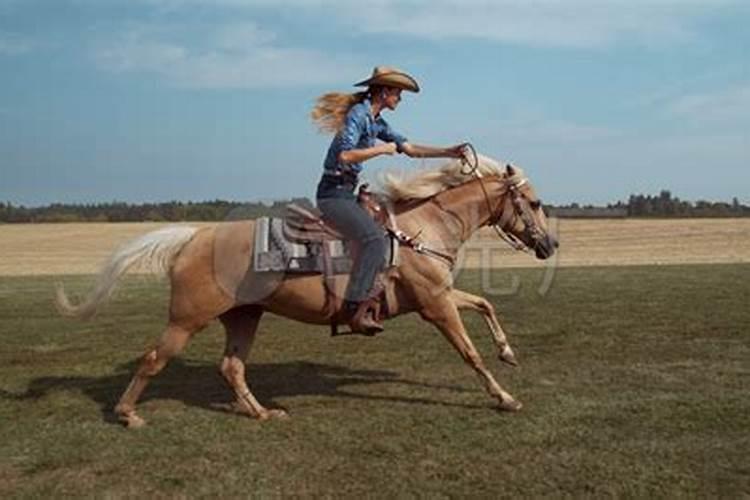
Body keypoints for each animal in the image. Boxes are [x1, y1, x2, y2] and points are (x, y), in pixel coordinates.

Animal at [55, 154, 560, 428]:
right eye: (534, 202)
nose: (550, 244)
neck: (420, 229)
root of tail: (196, 235)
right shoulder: (435, 306)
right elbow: (469, 353)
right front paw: (504, 397)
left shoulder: (435, 296)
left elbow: (485, 304)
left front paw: (508, 353)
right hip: (185, 320)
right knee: (153, 359)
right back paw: (127, 414)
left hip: (244, 316)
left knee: (231, 367)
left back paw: (261, 413)